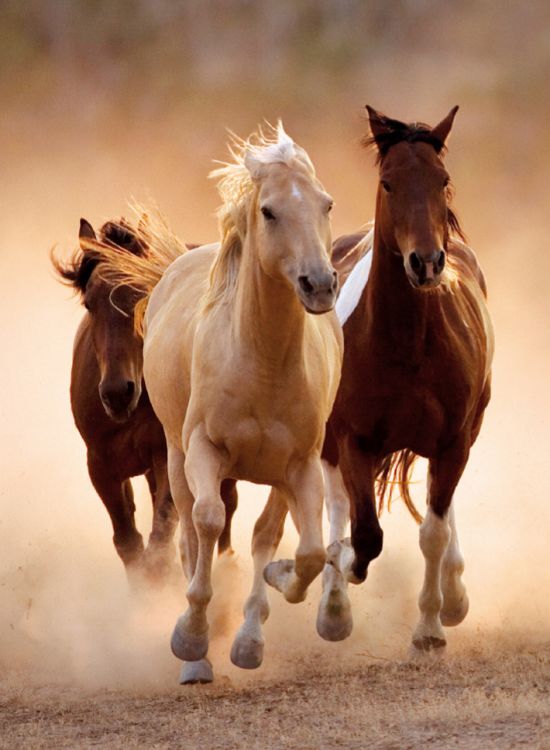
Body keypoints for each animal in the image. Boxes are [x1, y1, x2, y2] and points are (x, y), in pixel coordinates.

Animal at [52, 218, 238, 586]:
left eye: (142, 295)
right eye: (89, 304)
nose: (116, 393)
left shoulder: (167, 456)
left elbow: (160, 539)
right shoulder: (101, 466)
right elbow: (129, 543)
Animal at [93, 123, 343, 683]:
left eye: (326, 203)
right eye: (269, 211)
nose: (319, 285)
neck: (261, 362)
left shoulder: (300, 465)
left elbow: (305, 550)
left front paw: (273, 593)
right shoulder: (203, 451)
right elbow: (206, 524)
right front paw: (190, 637)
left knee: (265, 534)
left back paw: (248, 633)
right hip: (174, 456)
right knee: (190, 531)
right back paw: (198, 657)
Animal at [319, 106, 494, 653]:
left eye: (443, 180)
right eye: (388, 182)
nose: (427, 262)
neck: (407, 342)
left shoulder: (453, 441)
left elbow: (433, 531)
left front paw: (431, 626)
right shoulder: (353, 439)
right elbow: (364, 534)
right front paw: (343, 574)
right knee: (336, 504)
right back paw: (332, 604)